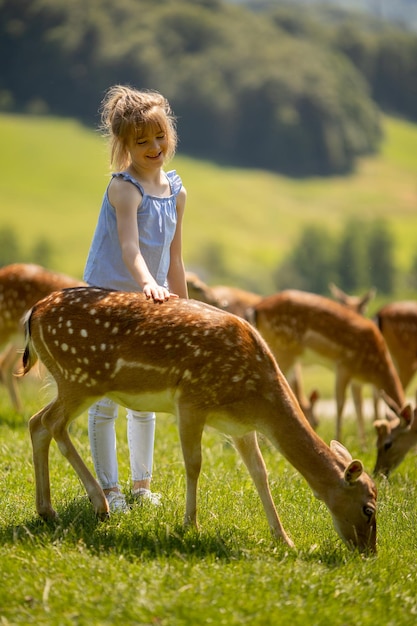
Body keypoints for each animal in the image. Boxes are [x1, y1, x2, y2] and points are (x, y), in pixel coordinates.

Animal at [21, 288, 376, 552]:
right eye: (369, 509)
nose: (368, 553)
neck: (257, 399)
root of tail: (33, 313)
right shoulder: (191, 400)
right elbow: (194, 464)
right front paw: (190, 525)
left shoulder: (241, 428)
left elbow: (260, 473)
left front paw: (284, 539)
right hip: (80, 377)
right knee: (52, 423)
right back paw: (99, 506)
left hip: (73, 380)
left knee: (37, 422)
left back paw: (47, 511)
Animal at [249, 288, 404, 444]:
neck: (375, 369)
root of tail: (256, 308)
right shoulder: (343, 365)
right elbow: (341, 404)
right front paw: (340, 440)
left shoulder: (356, 379)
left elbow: (358, 406)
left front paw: (363, 445)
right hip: (283, 350)